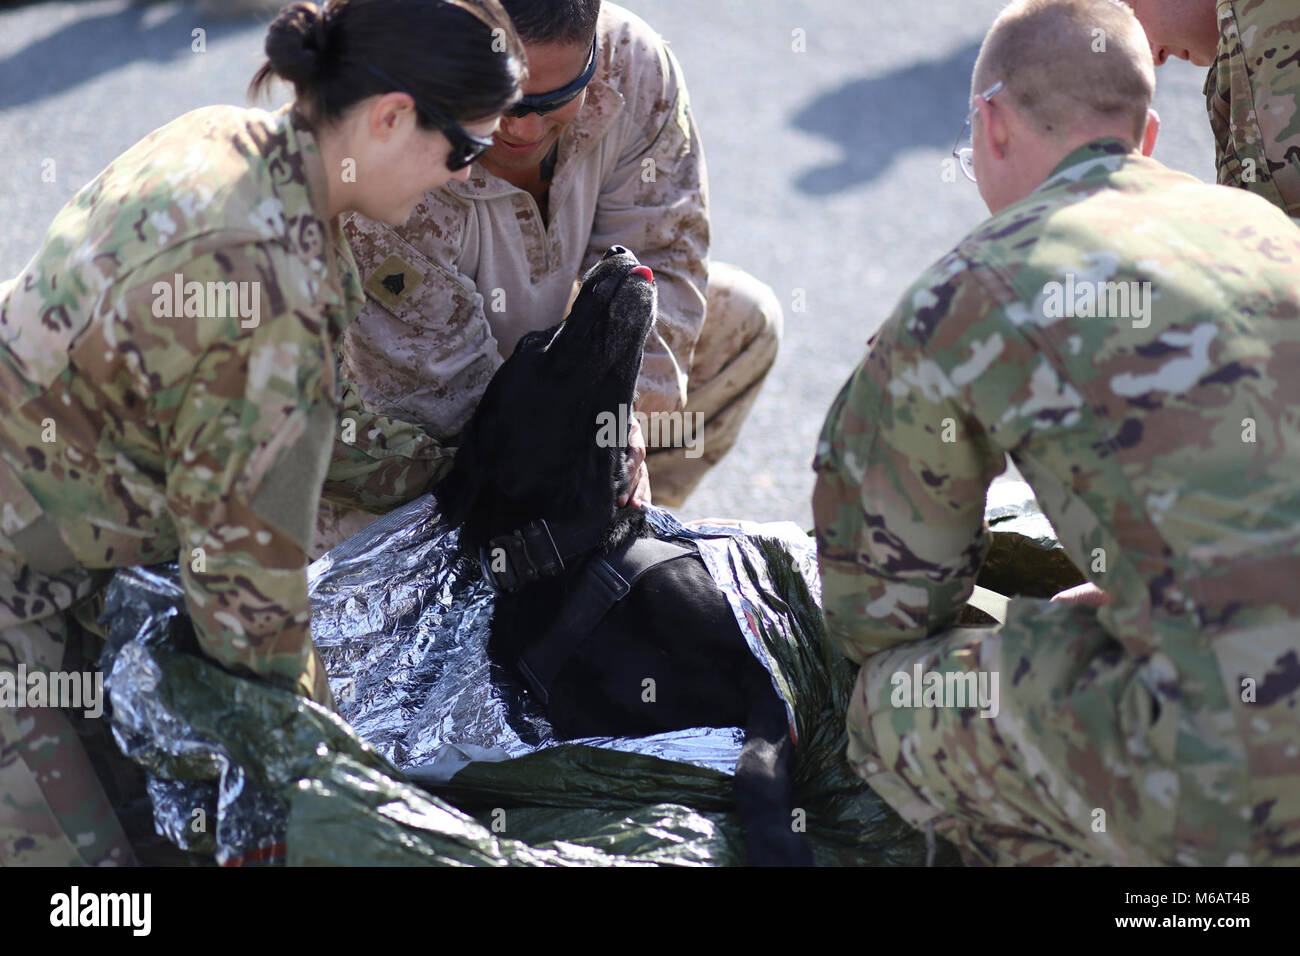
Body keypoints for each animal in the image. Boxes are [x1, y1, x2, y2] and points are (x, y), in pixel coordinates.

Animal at [441, 243, 811, 863]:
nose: (614, 250)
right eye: (532, 342)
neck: (572, 554)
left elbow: (753, 766)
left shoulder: (767, 674)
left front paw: (776, 840)